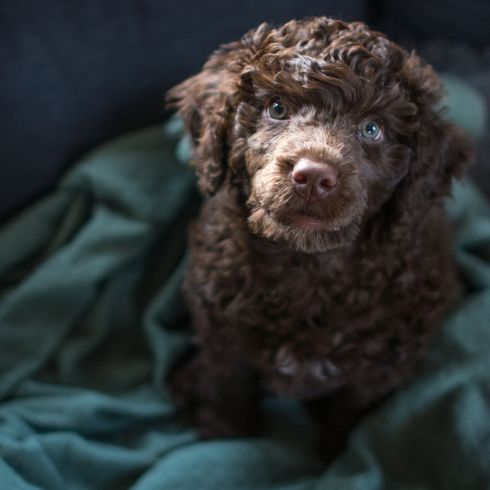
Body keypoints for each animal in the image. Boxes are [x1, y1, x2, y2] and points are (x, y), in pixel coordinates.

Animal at [167, 16, 472, 460]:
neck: (309, 262)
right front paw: (228, 436)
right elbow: (228, 387)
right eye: (277, 108)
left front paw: (338, 456)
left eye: (372, 129)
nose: (313, 176)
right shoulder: (220, 329)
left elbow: (350, 410)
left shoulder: (382, 362)